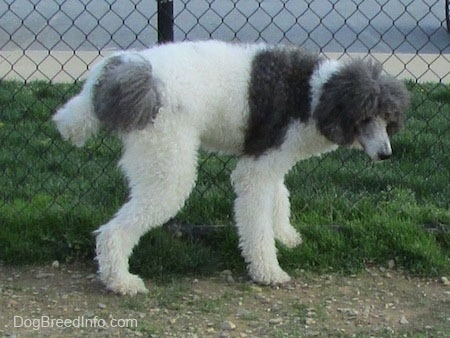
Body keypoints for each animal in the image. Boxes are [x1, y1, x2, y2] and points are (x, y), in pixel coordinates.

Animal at [51, 39, 408, 294]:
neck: (315, 93)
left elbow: (279, 199)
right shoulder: (255, 172)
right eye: (365, 118)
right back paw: (120, 282)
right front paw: (267, 270)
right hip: (167, 168)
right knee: (114, 232)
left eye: (388, 117)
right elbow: (256, 224)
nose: (385, 154)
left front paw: (286, 236)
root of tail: (133, 75)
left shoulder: (269, 159)